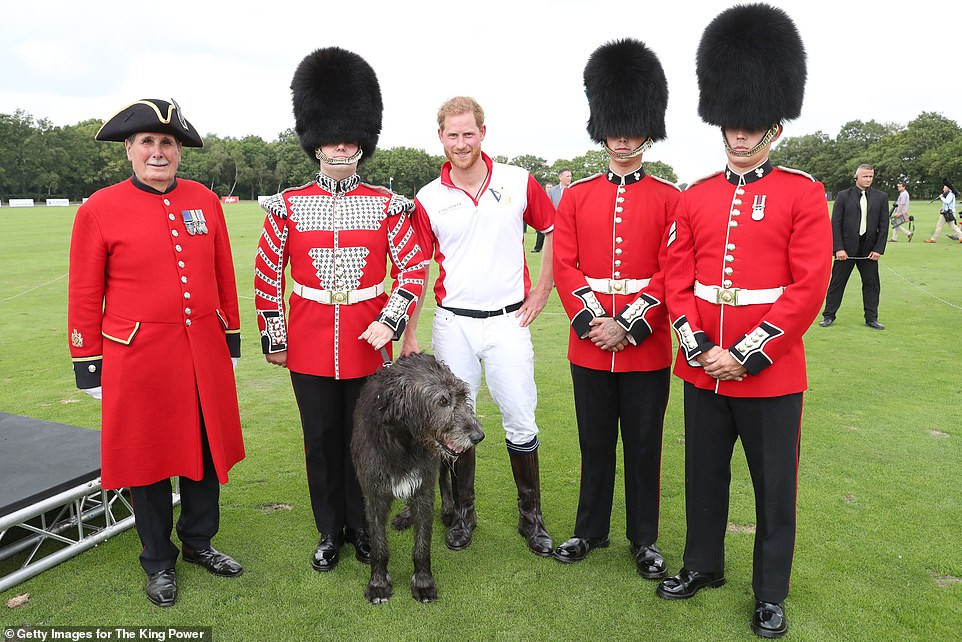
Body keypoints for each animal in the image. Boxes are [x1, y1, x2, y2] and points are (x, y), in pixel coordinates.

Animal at [350, 350, 484, 600]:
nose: (478, 436)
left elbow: (422, 545)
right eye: (443, 401)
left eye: (463, 396)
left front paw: (423, 582)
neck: (402, 441)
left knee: (443, 479)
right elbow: (379, 545)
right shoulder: (373, 493)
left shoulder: (424, 486)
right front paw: (378, 583)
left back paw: (449, 510)